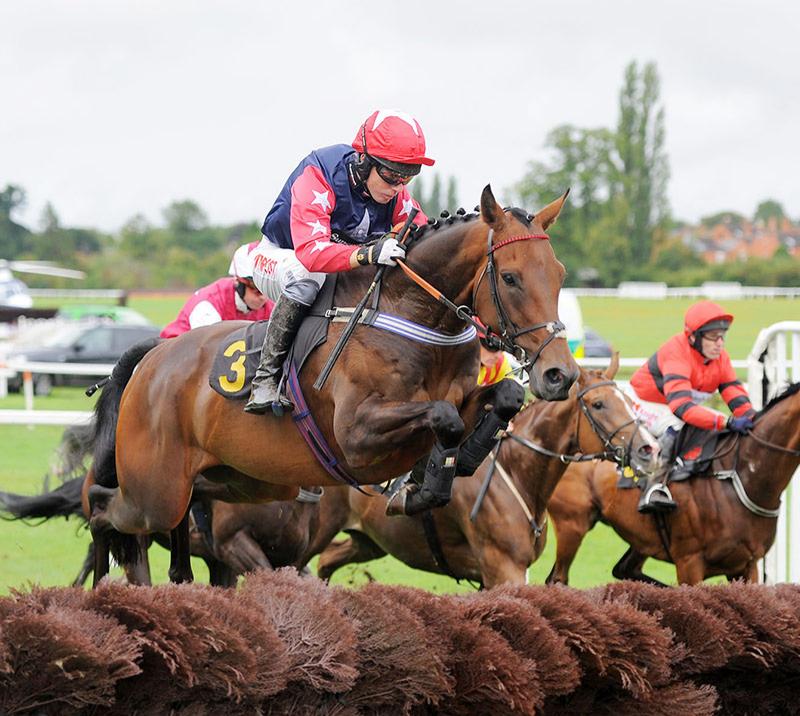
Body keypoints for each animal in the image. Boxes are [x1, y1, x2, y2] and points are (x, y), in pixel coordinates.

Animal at [89, 187, 580, 584]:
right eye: (511, 277)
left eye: (560, 273)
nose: (560, 374)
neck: (410, 314)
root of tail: (151, 358)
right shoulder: (357, 436)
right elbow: (444, 416)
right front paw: (429, 482)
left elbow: (503, 396)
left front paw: (455, 463)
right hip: (154, 491)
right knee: (101, 509)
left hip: (242, 481)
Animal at [310, 358, 656, 588]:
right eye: (598, 404)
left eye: (628, 399)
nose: (648, 448)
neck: (518, 474)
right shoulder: (504, 569)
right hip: (323, 527)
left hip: (370, 539)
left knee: (327, 560)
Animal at [548, 384, 800, 584]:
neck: (739, 476)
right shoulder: (690, 561)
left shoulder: (746, 565)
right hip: (572, 524)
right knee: (557, 579)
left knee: (625, 569)